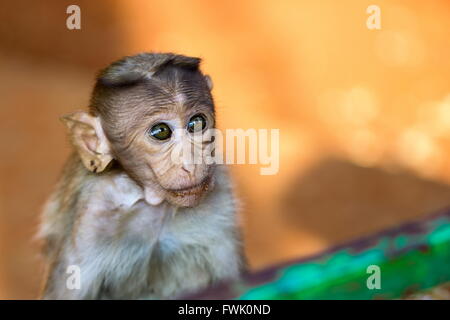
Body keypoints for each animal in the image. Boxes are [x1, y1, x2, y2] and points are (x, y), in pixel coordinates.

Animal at [38, 53, 244, 300]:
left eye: (197, 123)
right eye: (161, 132)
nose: (191, 164)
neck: (154, 204)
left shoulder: (219, 193)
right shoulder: (94, 213)